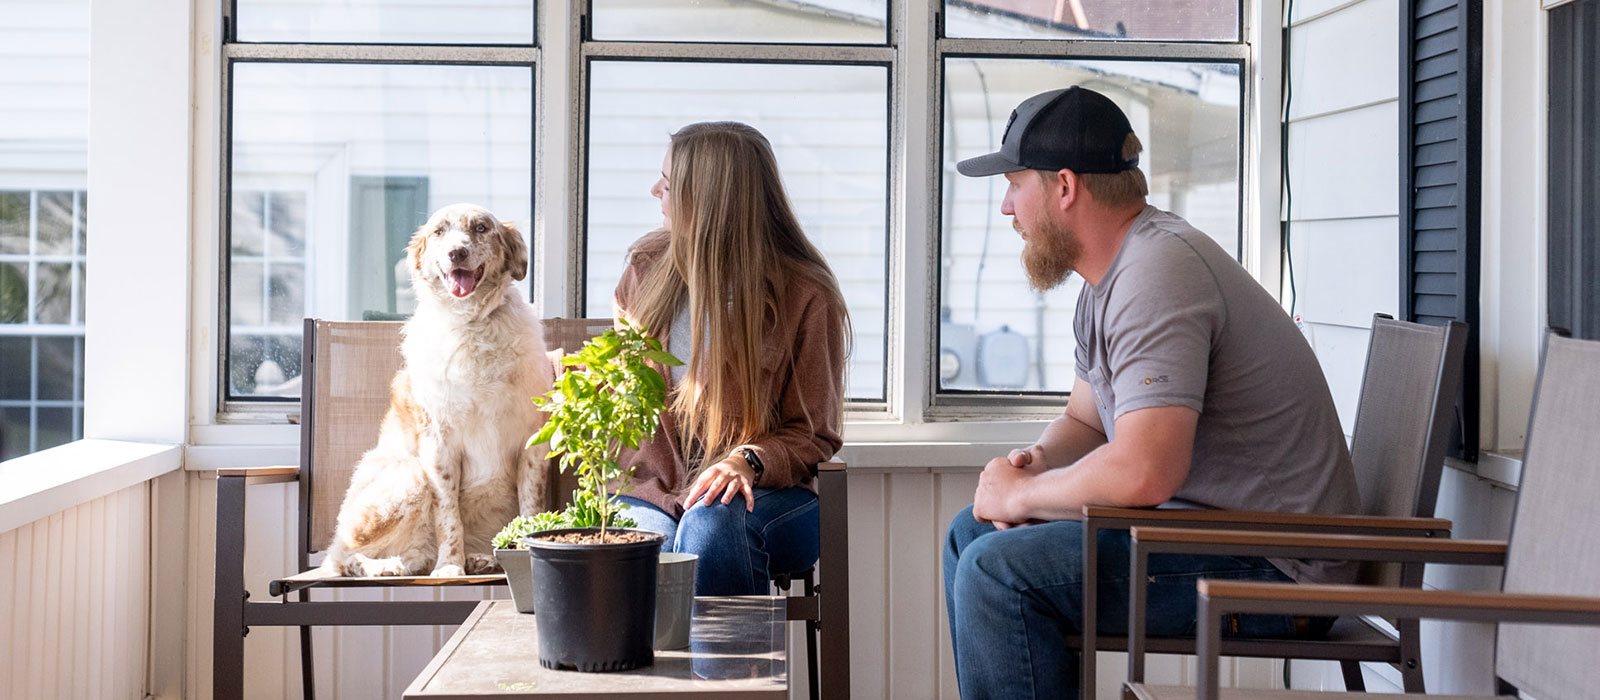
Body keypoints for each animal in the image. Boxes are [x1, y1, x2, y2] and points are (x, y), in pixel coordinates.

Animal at [318, 201, 556, 575]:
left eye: (481, 228)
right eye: (439, 232)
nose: (456, 253)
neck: (473, 325)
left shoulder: (531, 442)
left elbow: (531, 509)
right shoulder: (439, 445)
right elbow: (448, 516)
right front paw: (449, 567)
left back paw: (479, 559)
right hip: (410, 475)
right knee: (342, 555)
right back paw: (384, 567)